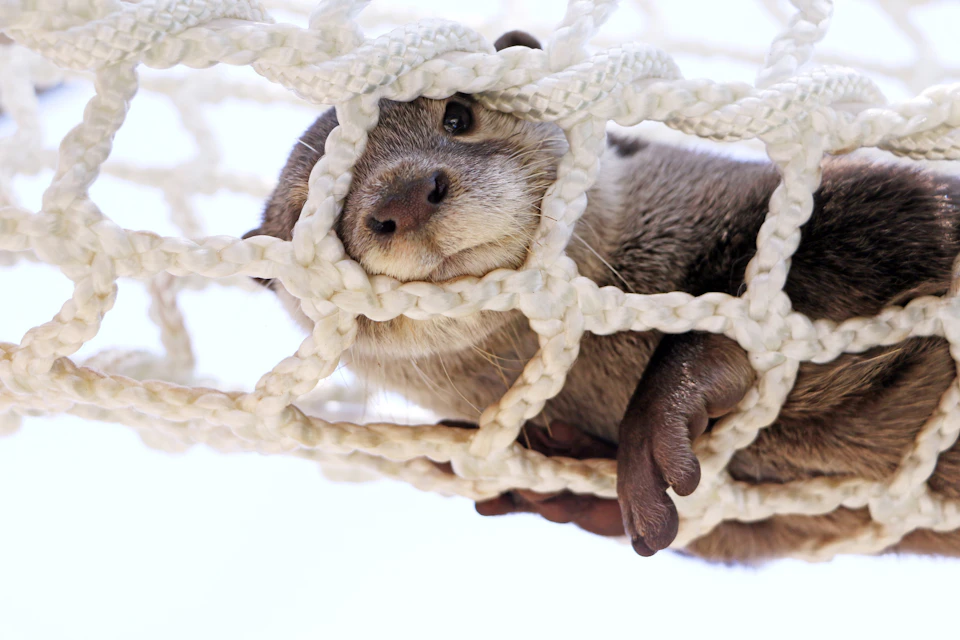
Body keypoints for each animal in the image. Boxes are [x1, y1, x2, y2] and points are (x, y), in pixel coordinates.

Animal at [244, 31, 960, 563]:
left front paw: (663, 406)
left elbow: (884, 215)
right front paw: (557, 479)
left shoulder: (871, 209)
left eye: (457, 113)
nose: (406, 194)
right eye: (313, 206)